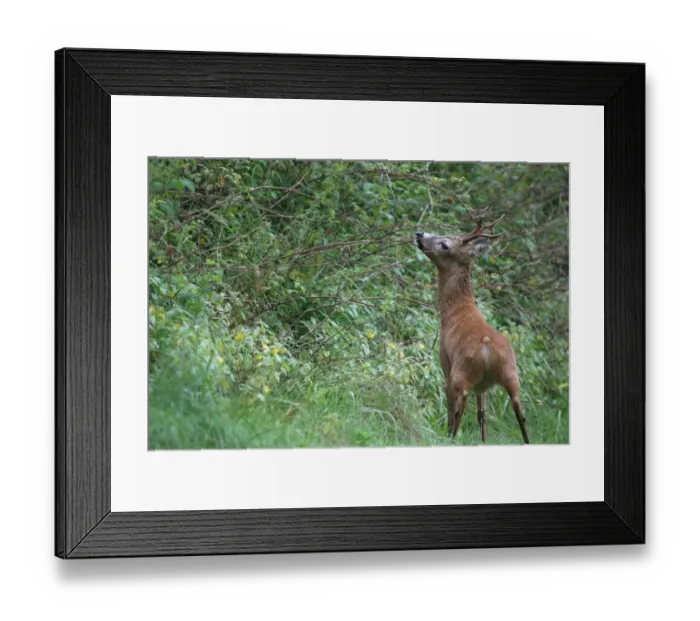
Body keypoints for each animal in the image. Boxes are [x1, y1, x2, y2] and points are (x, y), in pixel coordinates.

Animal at [415, 216, 530, 444]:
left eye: (444, 244)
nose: (420, 234)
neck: (454, 309)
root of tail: (486, 346)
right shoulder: (483, 386)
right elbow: (482, 414)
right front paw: (483, 442)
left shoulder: (445, 362)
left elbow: (453, 409)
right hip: (511, 372)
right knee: (519, 410)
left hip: (460, 371)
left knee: (459, 407)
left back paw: (451, 438)